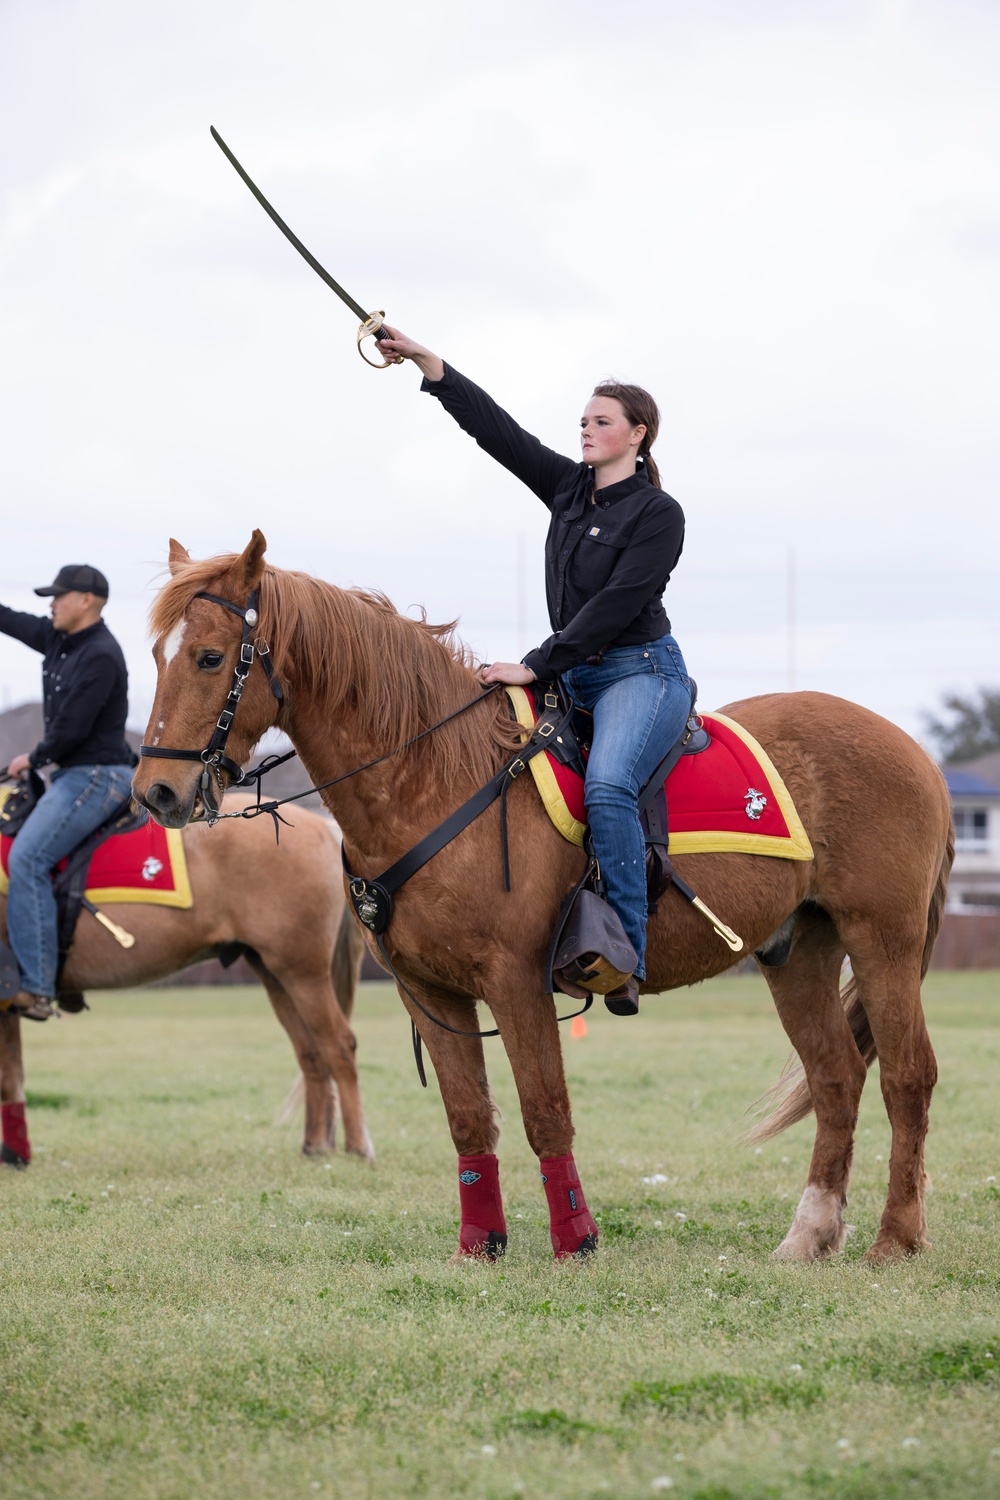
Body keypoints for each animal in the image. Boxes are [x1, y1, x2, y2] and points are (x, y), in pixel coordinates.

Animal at [0, 798, 371, 1170]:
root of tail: (324, 827)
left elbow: (8, 1080)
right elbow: (12, 1078)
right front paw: (16, 1154)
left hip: (303, 973)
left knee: (339, 1046)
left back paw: (358, 1146)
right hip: (276, 973)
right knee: (311, 1053)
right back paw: (315, 1145)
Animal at [132, 534, 953, 1260]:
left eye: (210, 657)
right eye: (157, 656)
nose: (156, 792)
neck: (438, 776)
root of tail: (914, 751)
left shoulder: (517, 981)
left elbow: (545, 1111)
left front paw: (575, 1240)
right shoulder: (428, 991)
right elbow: (470, 1119)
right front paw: (479, 1245)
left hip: (883, 941)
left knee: (908, 1077)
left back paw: (895, 1238)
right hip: (798, 951)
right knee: (837, 1078)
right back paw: (810, 1235)